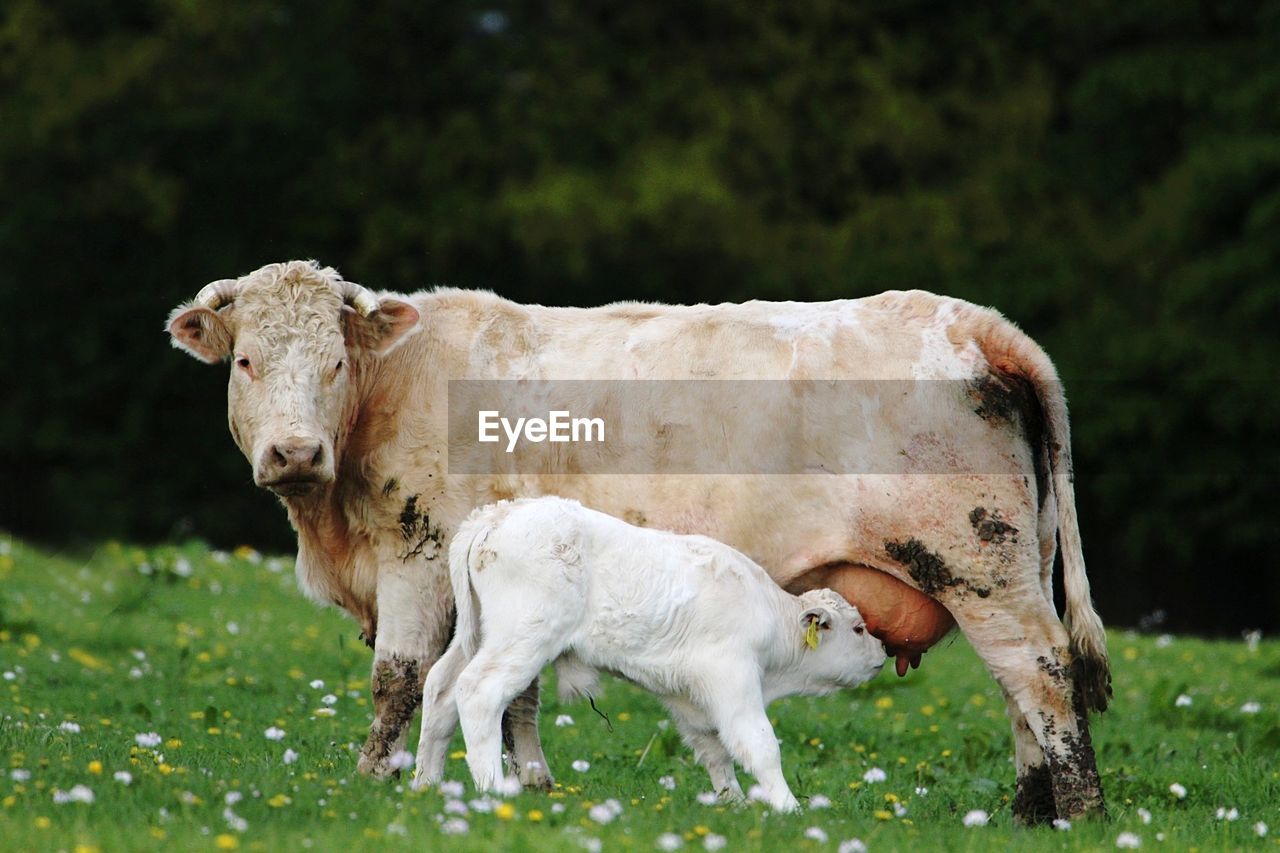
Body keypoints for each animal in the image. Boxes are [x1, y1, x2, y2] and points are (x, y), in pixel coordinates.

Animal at [412, 494, 890, 809]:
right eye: (858, 627)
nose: (882, 655)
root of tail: (498, 513)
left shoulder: (688, 696)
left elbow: (715, 748)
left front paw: (733, 803)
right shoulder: (732, 677)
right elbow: (757, 743)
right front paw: (788, 808)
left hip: (476, 636)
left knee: (440, 689)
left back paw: (426, 784)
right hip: (522, 638)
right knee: (479, 693)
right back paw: (491, 791)